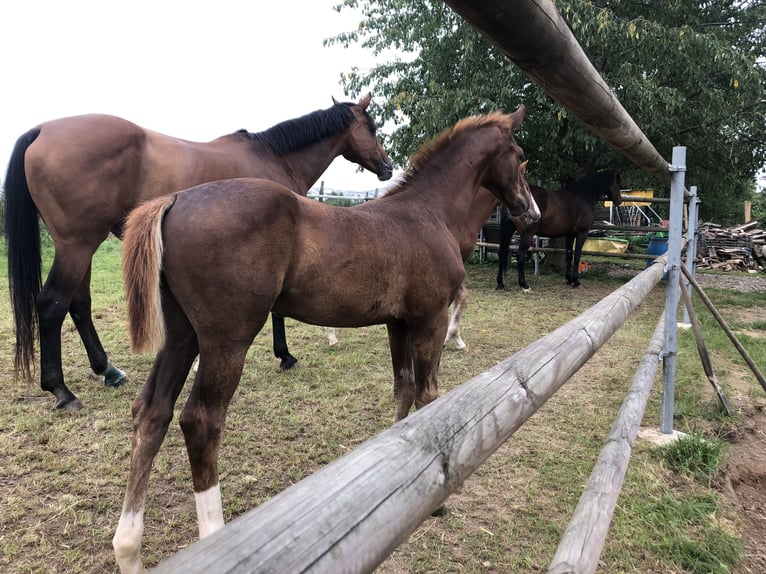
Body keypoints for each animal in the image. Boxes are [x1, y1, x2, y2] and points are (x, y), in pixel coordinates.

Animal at [3, 95, 392, 410]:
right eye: (372, 127)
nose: (388, 167)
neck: (275, 158)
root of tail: (41, 130)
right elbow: (278, 311)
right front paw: (285, 356)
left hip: (82, 247)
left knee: (79, 305)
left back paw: (108, 370)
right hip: (77, 246)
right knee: (52, 304)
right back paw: (61, 391)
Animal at [112, 107, 540, 572]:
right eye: (519, 154)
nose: (531, 212)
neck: (428, 213)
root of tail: (174, 200)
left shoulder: (398, 323)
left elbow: (403, 388)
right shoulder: (430, 320)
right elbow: (429, 395)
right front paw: (438, 500)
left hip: (181, 337)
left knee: (151, 412)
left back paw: (128, 548)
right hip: (227, 341)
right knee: (201, 421)